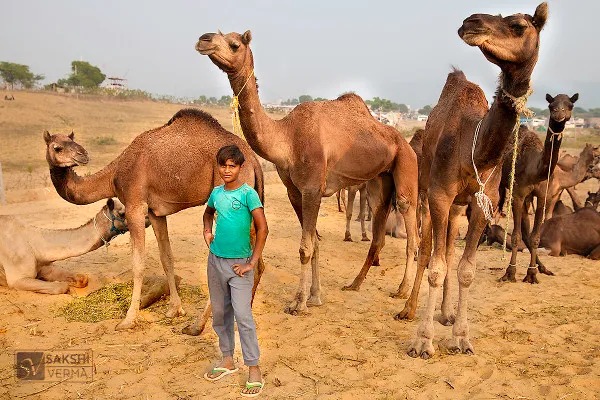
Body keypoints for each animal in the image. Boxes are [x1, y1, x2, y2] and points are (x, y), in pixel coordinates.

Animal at [43, 107, 264, 332]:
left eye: (70, 145)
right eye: (58, 147)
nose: (83, 155)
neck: (114, 176)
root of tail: (253, 160)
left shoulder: (135, 206)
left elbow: (138, 264)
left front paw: (128, 319)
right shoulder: (156, 213)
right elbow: (166, 258)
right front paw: (175, 310)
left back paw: (197, 326)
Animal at [196, 29, 418, 314]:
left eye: (234, 44)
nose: (204, 39)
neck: (287, 138)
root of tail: (403, 140)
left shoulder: (312, 189)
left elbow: (305, 247)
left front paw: (298, 302)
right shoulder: (295, 192)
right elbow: (315, 242)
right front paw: (315, 296)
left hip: (406, 164)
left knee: (410, 228)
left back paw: (402, 291)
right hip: (381, 179)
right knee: (378, 230)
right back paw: (354, 284)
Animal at [396, 3, 552, 360]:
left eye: (518, 25)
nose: (471, 22)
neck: (474, 150)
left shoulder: (483, 203)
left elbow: (466, 269)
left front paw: (461, 338)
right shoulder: (439, 195)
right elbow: (436, 266)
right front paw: (423, 342)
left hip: (457, 207)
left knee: (447, 248)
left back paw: (445, 313)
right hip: (427, 190)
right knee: (427, 248)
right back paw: (409, 309)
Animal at [500, 93, 580, 284]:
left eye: (570, 105)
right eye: (551, 105)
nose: (559, 114)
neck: (535, 169)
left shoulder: (542, 196)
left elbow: (535, 237)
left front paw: (532, 274)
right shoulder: (518, 194)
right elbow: (516, 236)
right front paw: (510, 272)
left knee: (527, 230)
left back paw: (543, 267)